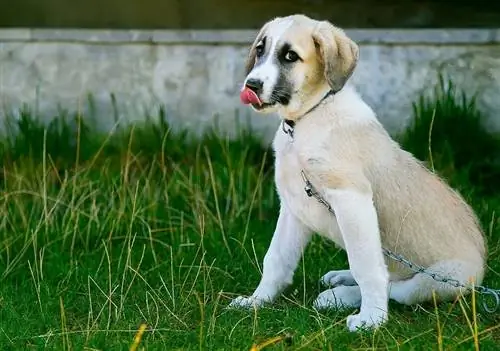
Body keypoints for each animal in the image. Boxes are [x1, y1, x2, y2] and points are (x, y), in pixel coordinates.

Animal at [229, 13, 486, 332]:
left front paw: (371, 319)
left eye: (290, 56)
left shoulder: (352, 199)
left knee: (397, 286)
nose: (251, 85)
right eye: (260, 50)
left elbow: (367, 267)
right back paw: (340, 278)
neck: (307, 120)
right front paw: (257, 301)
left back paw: (339, 297)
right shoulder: (294, 206)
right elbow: (276, 258)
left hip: (444, 279)